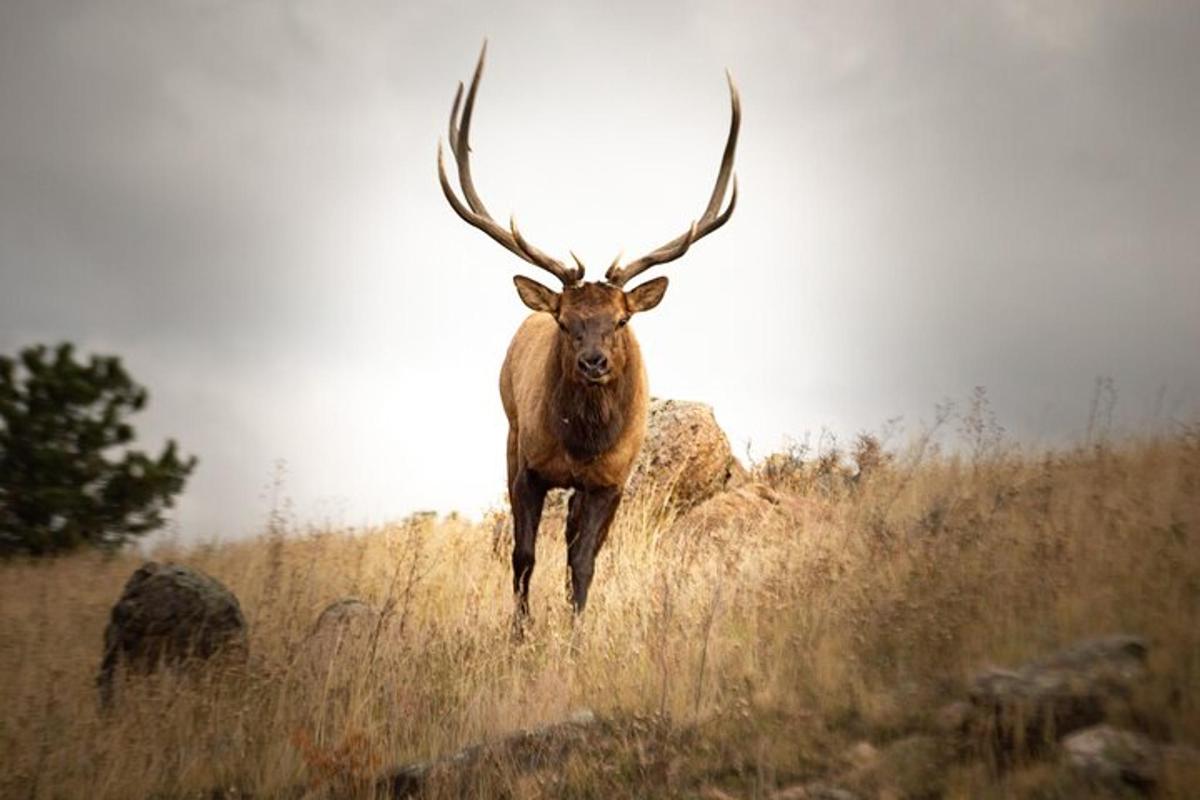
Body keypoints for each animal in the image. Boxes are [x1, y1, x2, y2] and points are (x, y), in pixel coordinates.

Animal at [441, 43, 739, 633]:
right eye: (565, 320)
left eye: (621, 320)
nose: (595, 362)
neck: (580, 443)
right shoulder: (527, 464)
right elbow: (523, 554)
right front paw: (520, 633)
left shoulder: (611, 479)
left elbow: (584, 561)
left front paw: (575, 633)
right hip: (513, 433)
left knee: (580, 544)